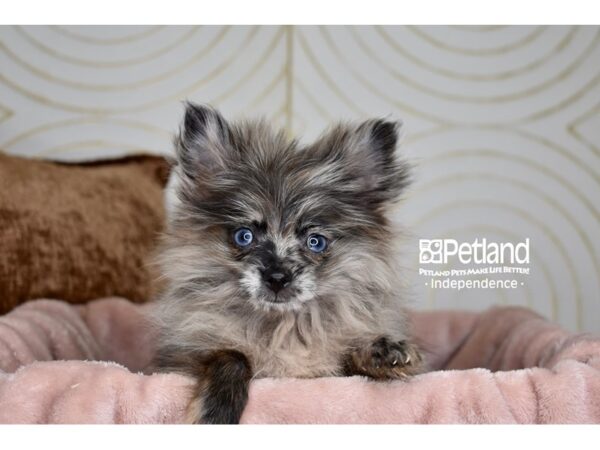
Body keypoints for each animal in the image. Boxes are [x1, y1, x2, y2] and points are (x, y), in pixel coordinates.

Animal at [150, 103, 422, 424]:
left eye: (316, 241)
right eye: (244, 236)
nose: (277, 278)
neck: (285, 326)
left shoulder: (331, 375)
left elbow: (349, 362)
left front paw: (381, 352)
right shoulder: (180, 357)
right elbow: (231, 357)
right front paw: (215, 412)